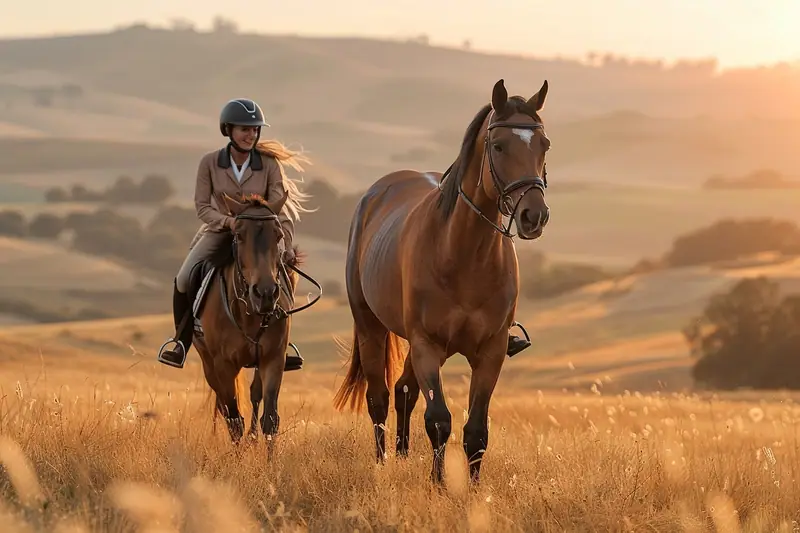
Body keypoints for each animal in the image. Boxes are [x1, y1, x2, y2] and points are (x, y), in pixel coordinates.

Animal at [188, 191, 321, 453]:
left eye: (278, 235)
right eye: (239, 235)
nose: (266, 293)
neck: (248, 311)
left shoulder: (273, 359)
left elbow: (270, 419)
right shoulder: (223, 365)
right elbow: (234, 421)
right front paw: (238, 460)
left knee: (254, 395)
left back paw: (252, 438)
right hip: (209, 364)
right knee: (224, 407)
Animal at [332, 78, 552, 484]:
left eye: (544, 145)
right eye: (498, 146)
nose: (535, 216)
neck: (464, 256)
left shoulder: (491, 351)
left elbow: (476, 430)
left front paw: (474, 488)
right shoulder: (427, 346)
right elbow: (438, 421)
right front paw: (439, 485)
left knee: (404, 389)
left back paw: (402, 456)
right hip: (372, 328)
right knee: (379, 398)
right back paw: (382, 463)